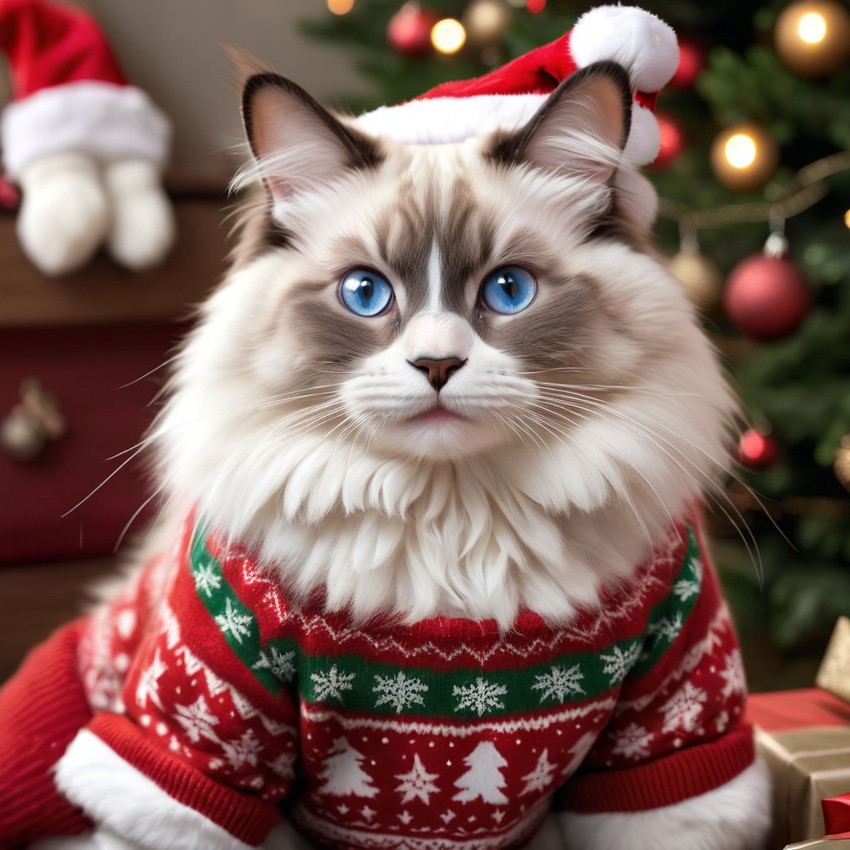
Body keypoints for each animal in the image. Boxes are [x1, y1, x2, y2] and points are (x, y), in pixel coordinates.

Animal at [0, 49, 768, 848]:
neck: (456, 525)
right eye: (365, 293)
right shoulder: (206, 729)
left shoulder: (666, 721)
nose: (436, 365)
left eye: (509, 289)